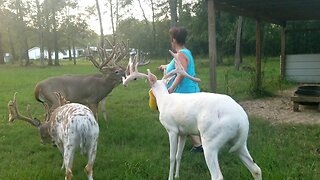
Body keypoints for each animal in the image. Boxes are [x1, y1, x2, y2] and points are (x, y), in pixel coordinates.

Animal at [122, 50, 262, 180]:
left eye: (149, 85)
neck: (164, 101)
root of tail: (242, 121)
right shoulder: (183, 132)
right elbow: (179, 155)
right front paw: (177, 175)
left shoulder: (172, 129)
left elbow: (171, 157)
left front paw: (170, 177)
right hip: (239, 142)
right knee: (256, 169)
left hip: (211, 140)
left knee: (217, 176)